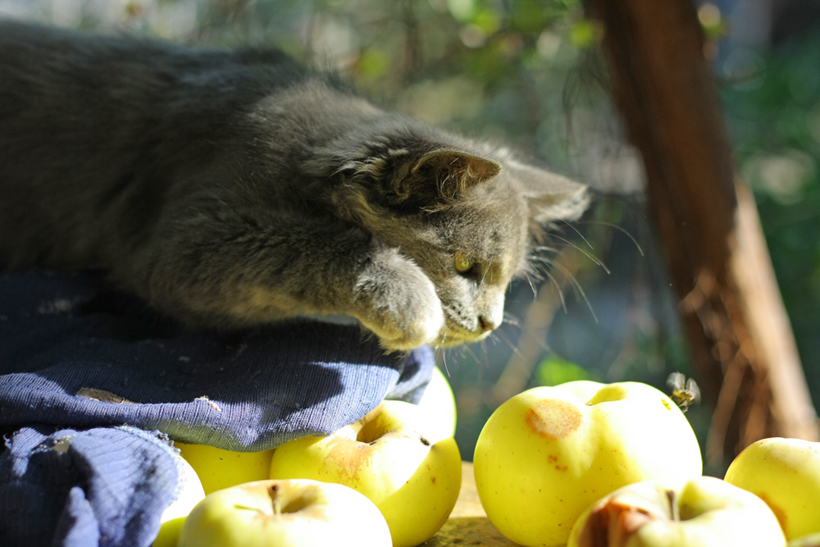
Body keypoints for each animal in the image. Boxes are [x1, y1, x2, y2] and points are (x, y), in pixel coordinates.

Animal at [0, 21, 588, 352]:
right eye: (466, 267)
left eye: (506, 280)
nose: (492, 323)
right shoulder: (177, 243)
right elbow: (315, 242)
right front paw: (407, 299)